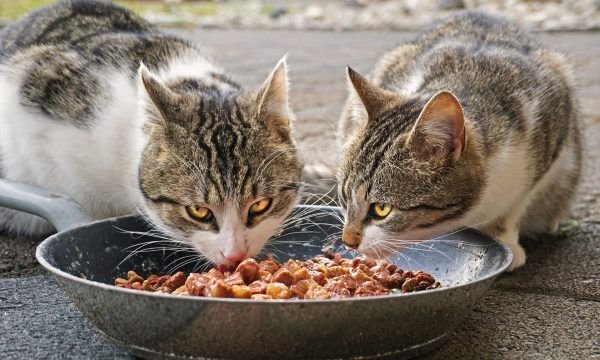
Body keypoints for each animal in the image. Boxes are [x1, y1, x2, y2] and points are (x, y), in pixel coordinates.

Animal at [338, 11, 580, 270]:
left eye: (382, 209)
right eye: (344, 197)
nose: (348, 241)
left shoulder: (551, 127)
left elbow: (513, 207)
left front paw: (505, 239)